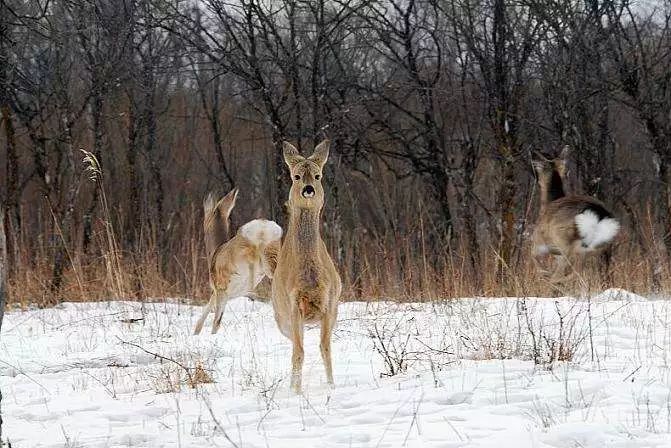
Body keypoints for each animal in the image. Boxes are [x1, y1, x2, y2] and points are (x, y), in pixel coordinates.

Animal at [193, 187, 282, 334]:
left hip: (254, 257)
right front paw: (196, 332)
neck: (215, 251)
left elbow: (216, 321)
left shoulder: (220, 288)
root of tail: (263, 226)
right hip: (274, 252)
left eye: (208, 213)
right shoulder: (220, 292)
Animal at [270, 139, 342, 392]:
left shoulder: (330, 303)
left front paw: (331, 386)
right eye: (296, 176)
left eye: (318, 175)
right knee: (294, 345)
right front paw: (296, 392)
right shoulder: (293, 306)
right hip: (281, 319)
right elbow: (298, 353)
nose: (308, 189)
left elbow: (325, 348)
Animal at [532, 148, 624, 284]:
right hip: (598, 248)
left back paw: (553, 280)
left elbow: (535, 258)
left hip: (566, 243)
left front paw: (545, 274)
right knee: (584, 273)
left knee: (569, 273)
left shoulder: (539, 241)